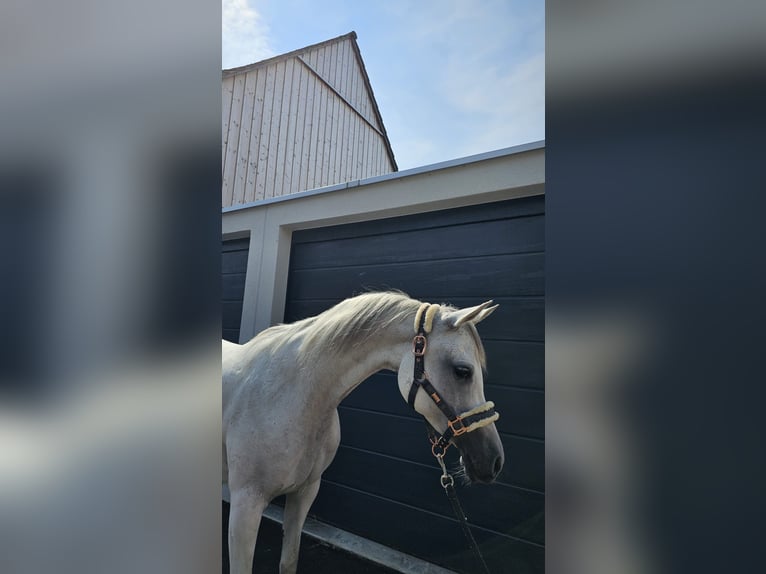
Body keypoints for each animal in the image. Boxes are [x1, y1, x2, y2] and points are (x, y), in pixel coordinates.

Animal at [222, 291, 504, 574]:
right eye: (462, 371)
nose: (494, 461)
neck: (289, 393)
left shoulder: (304, 493)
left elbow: (289, 561)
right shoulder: (246, 506)